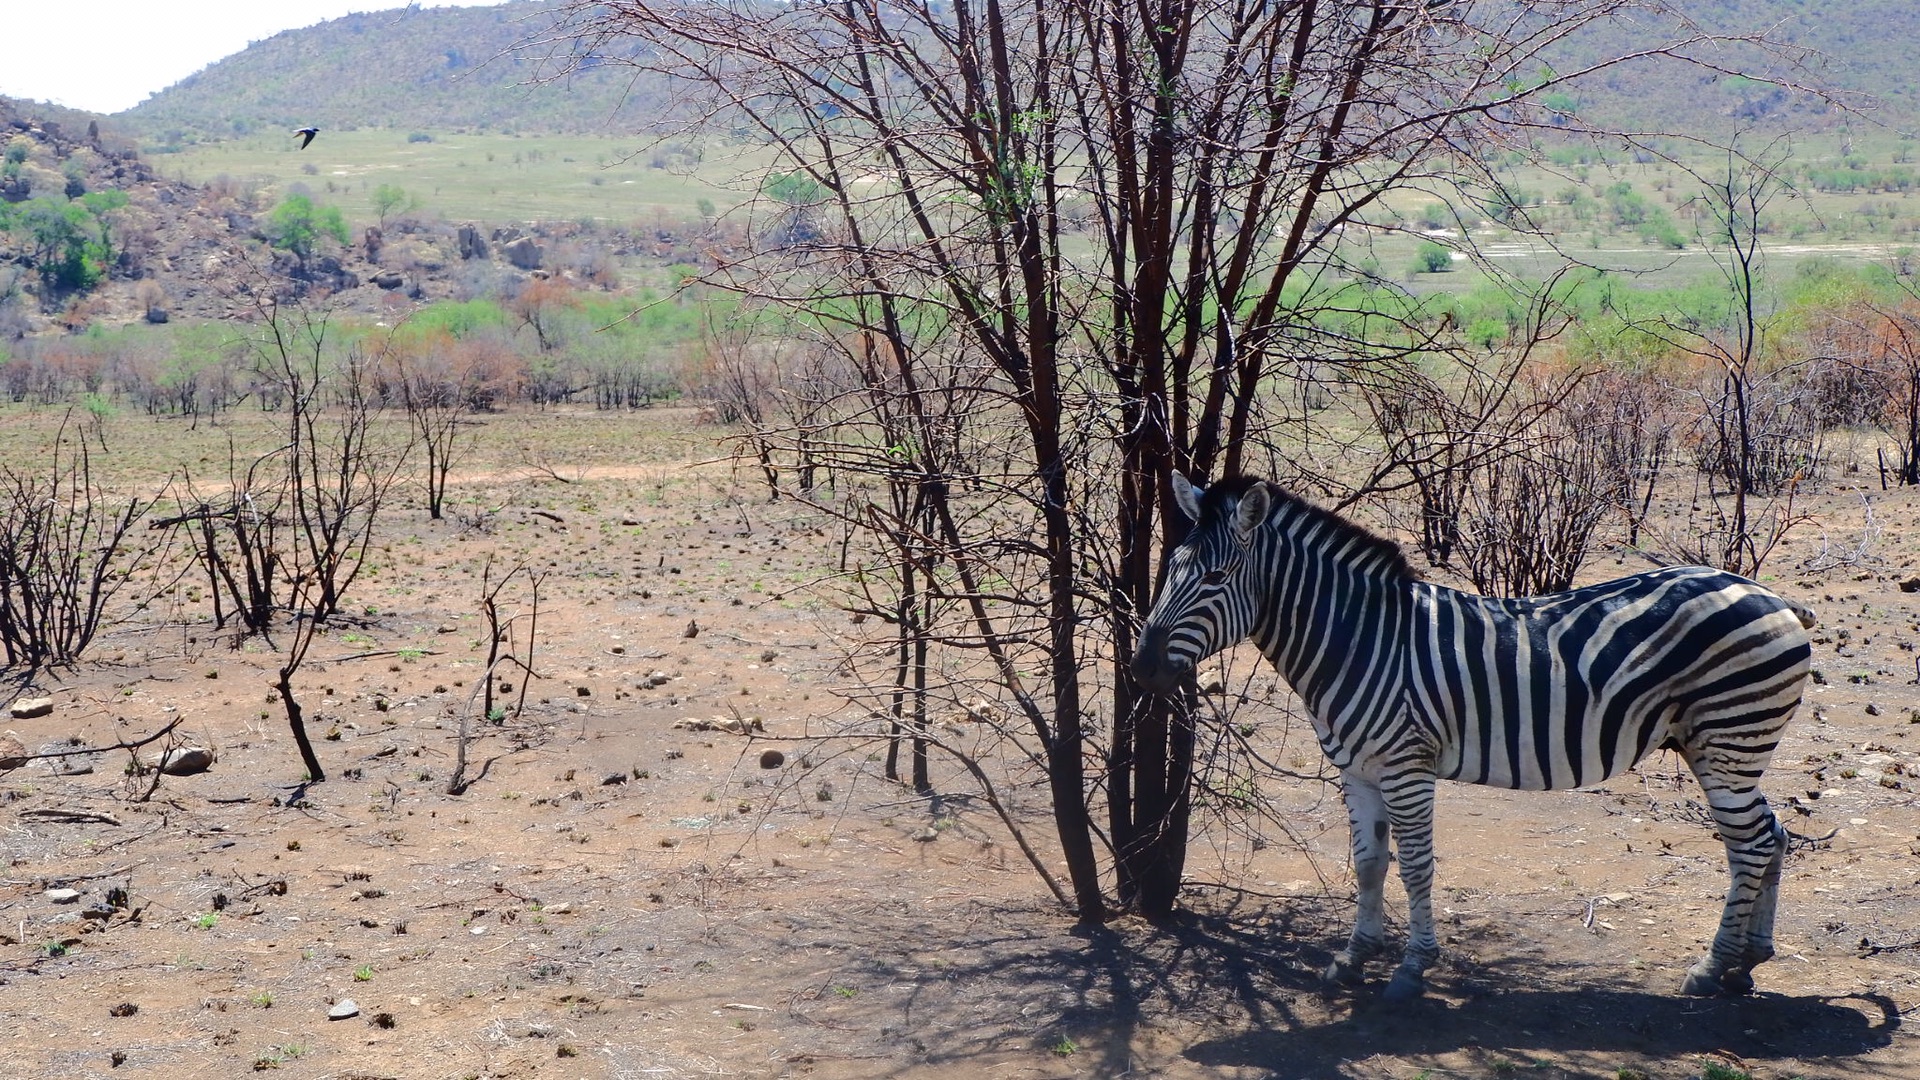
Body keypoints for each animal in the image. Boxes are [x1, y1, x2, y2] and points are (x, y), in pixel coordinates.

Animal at [1128, 474, 1820, 999]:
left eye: (1215, 579)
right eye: (1171, 571)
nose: (1141, 669)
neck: (1358, 639)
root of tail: (1769, 593)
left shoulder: (1406, 764)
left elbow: (1415, 867)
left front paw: (1412, 969)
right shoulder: (1356, 769)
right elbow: (1369, 863)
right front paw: (1354, 957)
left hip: (1729, 738)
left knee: (1751, 844)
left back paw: (1711, 967)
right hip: (1725, 746)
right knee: (1771, 834)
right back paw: (1748, 960)